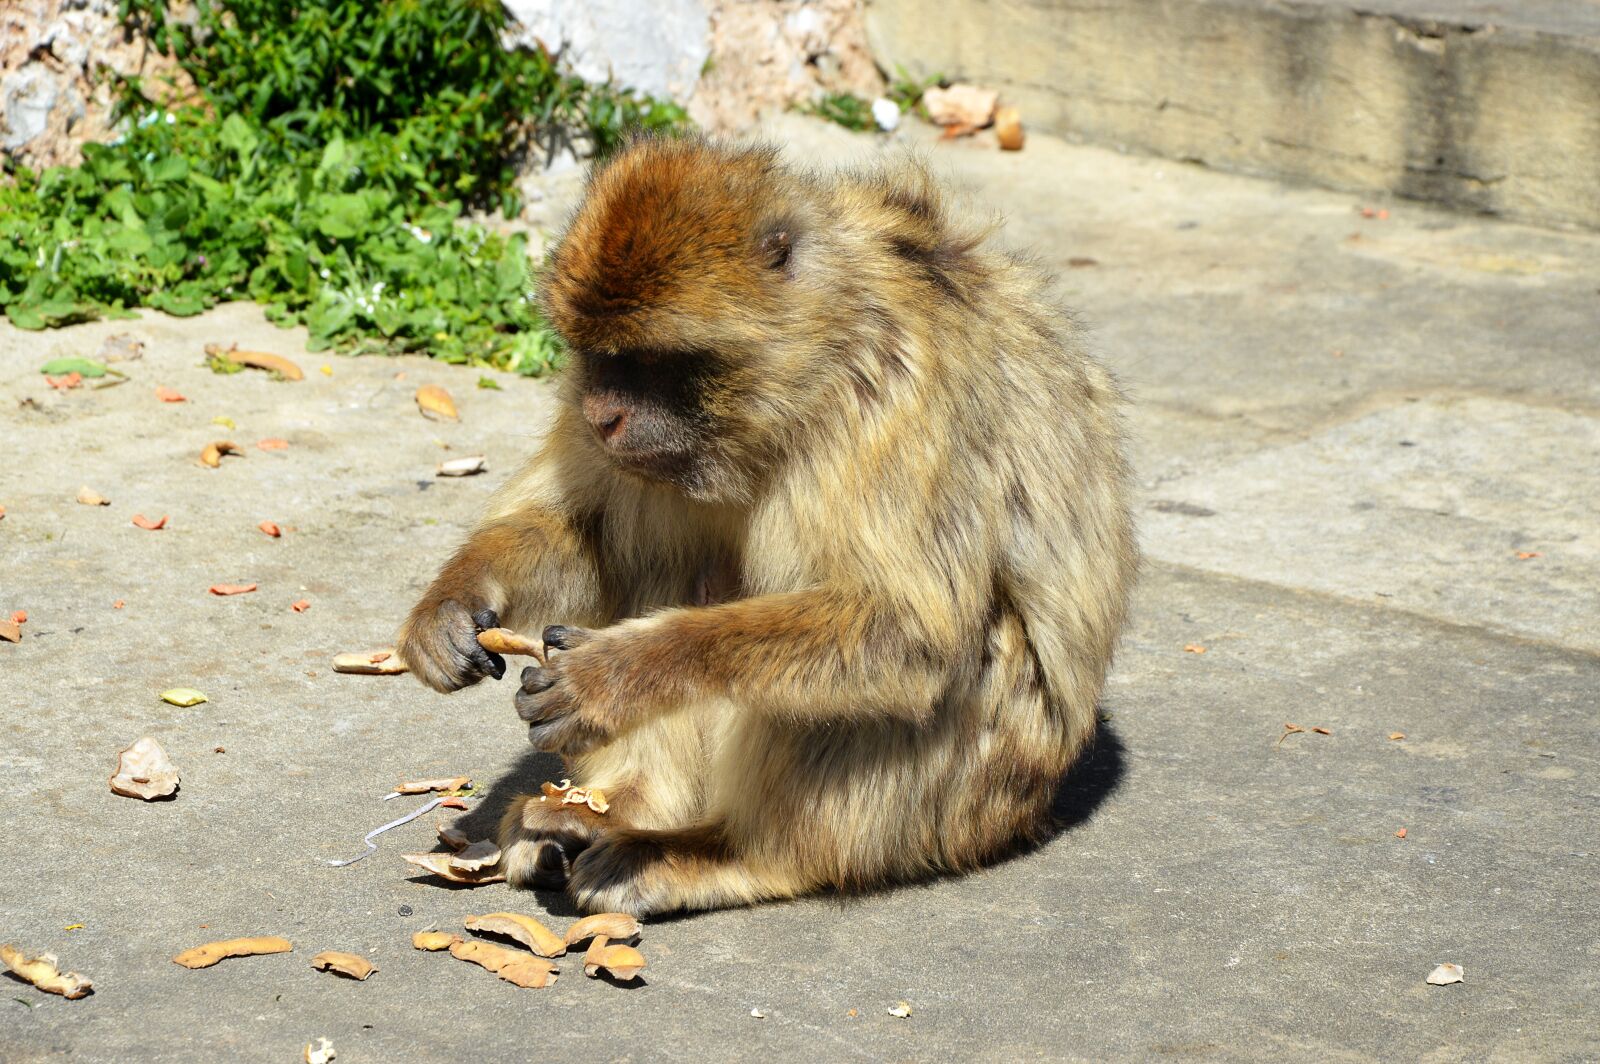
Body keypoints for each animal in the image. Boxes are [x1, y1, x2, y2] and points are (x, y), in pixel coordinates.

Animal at [397, 135, 1137, 917]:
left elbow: (910, 630)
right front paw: (453, 602)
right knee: (658, 552)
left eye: (649, 361)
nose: (601, 414)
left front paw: (616, 677)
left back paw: (723, 854)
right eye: (600, 355)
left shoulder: (889, 388)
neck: (800, 371)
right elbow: (586, 532)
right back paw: (612, 806)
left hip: (959, 798)